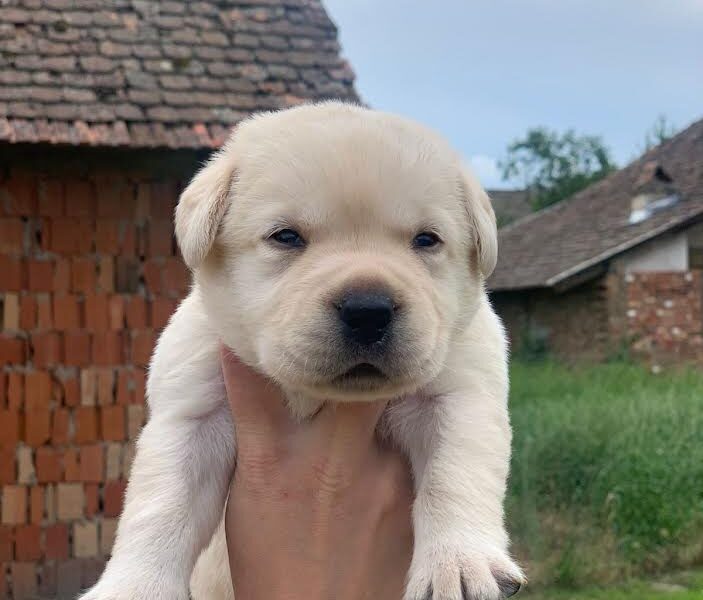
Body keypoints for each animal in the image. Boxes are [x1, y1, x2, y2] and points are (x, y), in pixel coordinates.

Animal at [81, 101, 524, 596]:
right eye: (286, 236)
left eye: (427, 239)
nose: (368, 310)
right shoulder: (191, 414)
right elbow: (160, 503)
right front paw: (135, 586)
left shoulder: (461, 394)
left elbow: (456, 473)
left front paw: (460, 564)